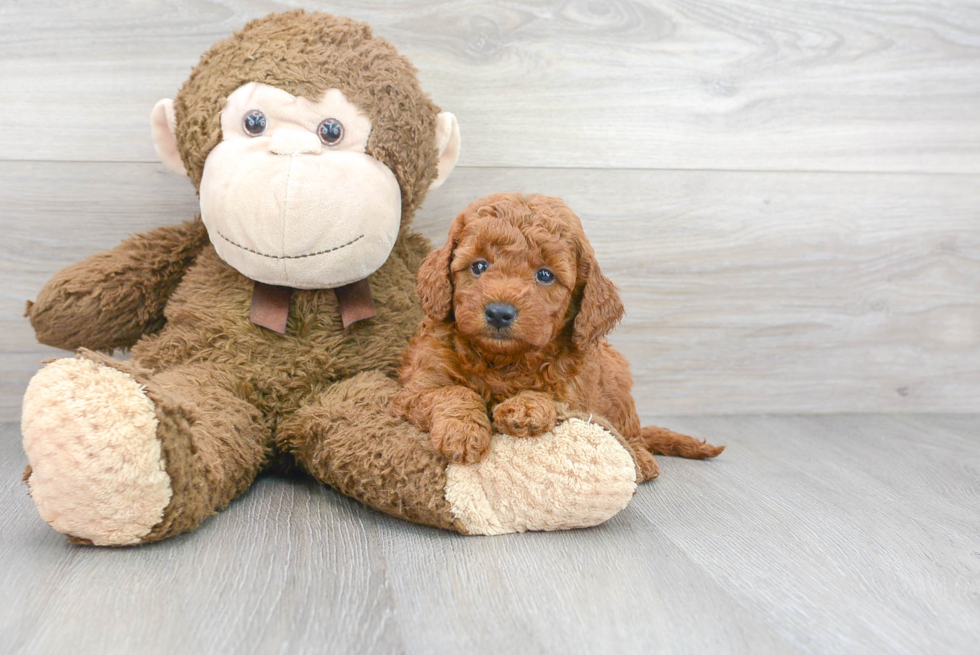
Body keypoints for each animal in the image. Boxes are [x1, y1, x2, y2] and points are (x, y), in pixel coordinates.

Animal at [388, 192, 720, 480]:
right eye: (479, 266)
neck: (502, 361)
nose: (499, 313)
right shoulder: (415, 390)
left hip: (618, 381)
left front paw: (525, 407)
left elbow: (548, 396)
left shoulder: (572, 395)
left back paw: (640, 457)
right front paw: (462, 432)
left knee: (631, 432)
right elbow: (454, 392)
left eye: (545, 275)